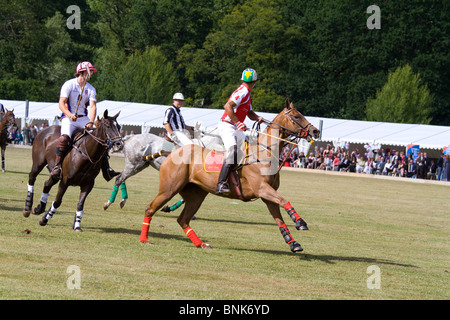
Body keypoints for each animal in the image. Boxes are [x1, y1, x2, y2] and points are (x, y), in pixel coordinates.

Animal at [141, 100, 320, 252]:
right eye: (296, 116)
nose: (315, 131)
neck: (265, 153)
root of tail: (172, 152)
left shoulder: (267, 195)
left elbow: (279, 219)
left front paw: (294, 243)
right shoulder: (262, 188)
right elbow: (284, 200)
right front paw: (300, 221)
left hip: (196, 194)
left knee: (183, 219)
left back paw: (201, 244)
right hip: (169, 188)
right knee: (150, 208)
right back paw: (145, 240)